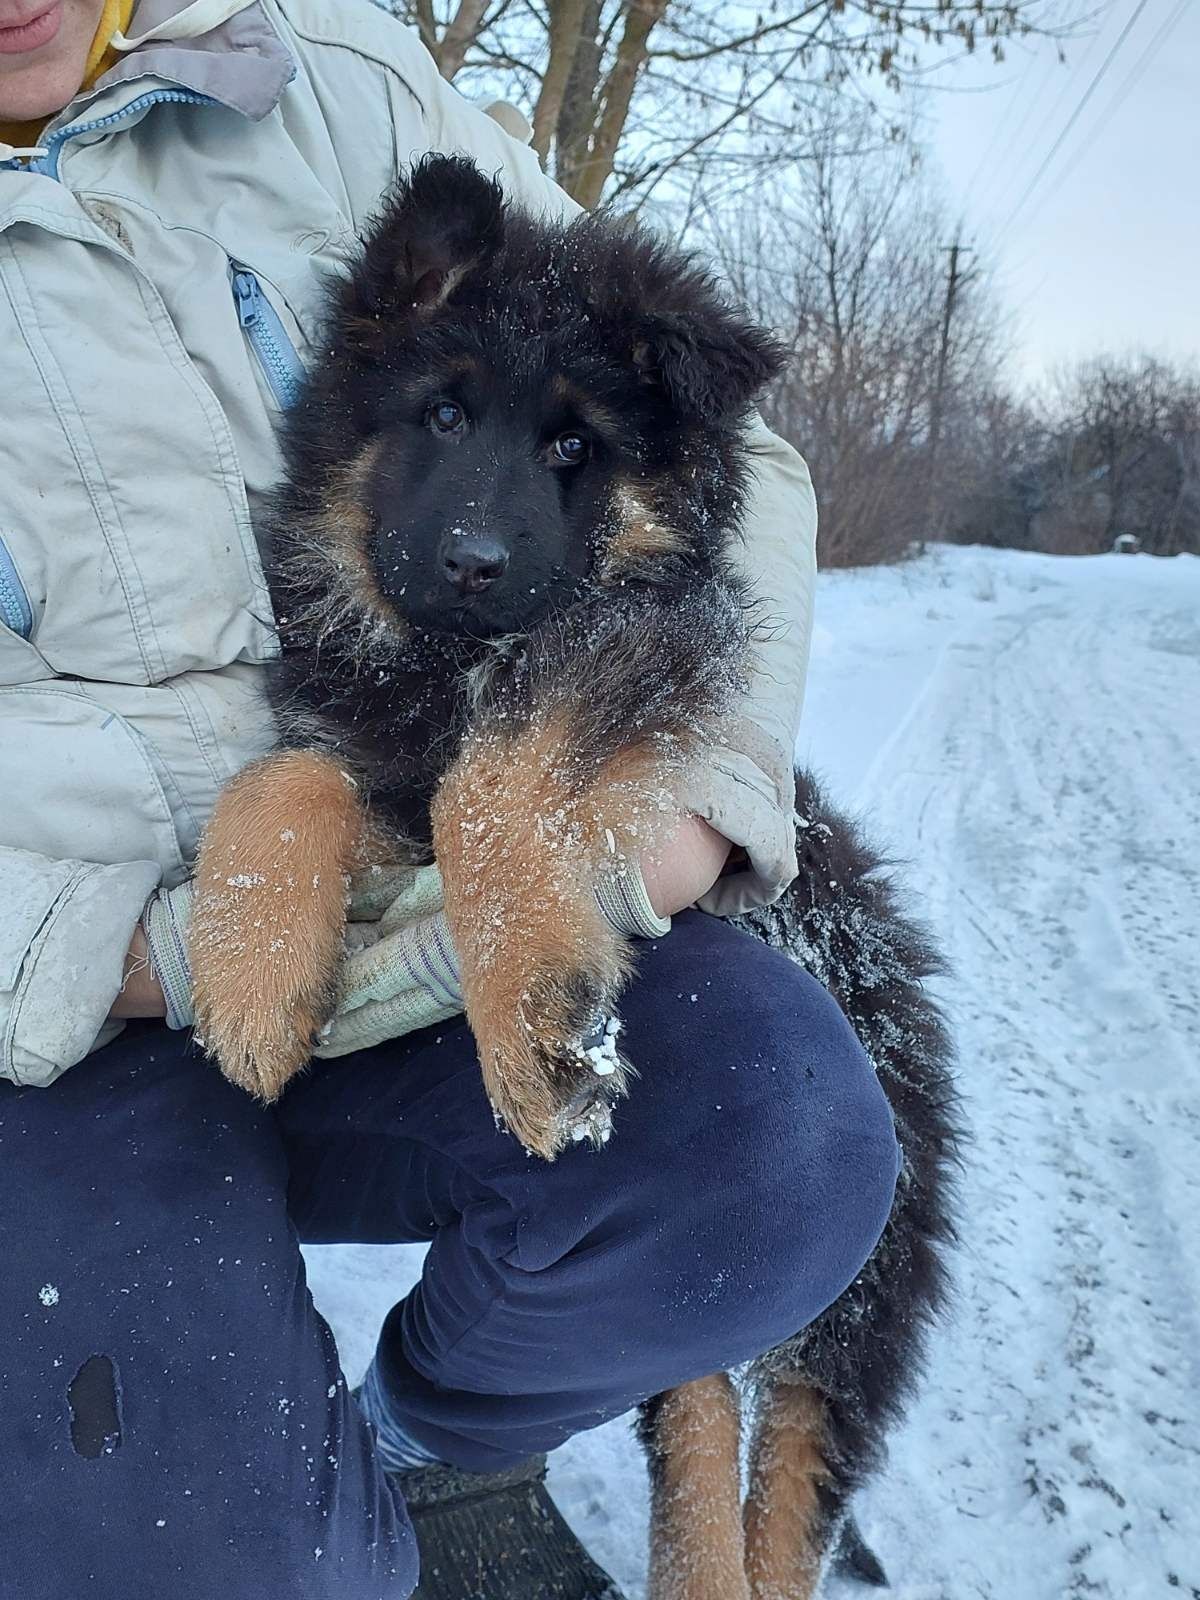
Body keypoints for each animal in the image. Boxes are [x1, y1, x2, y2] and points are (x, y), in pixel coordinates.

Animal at [192, 156, 966, 1593]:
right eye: (441, 412)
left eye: (574, 448)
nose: (473, 565)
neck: (443, 664)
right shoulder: (375, 744)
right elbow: (295, 776)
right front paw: (253, 976)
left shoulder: (633, 644)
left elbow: (495, 775)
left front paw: (537, 1026)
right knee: (704, 1432)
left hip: (866, 1281)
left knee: (791, 1471)